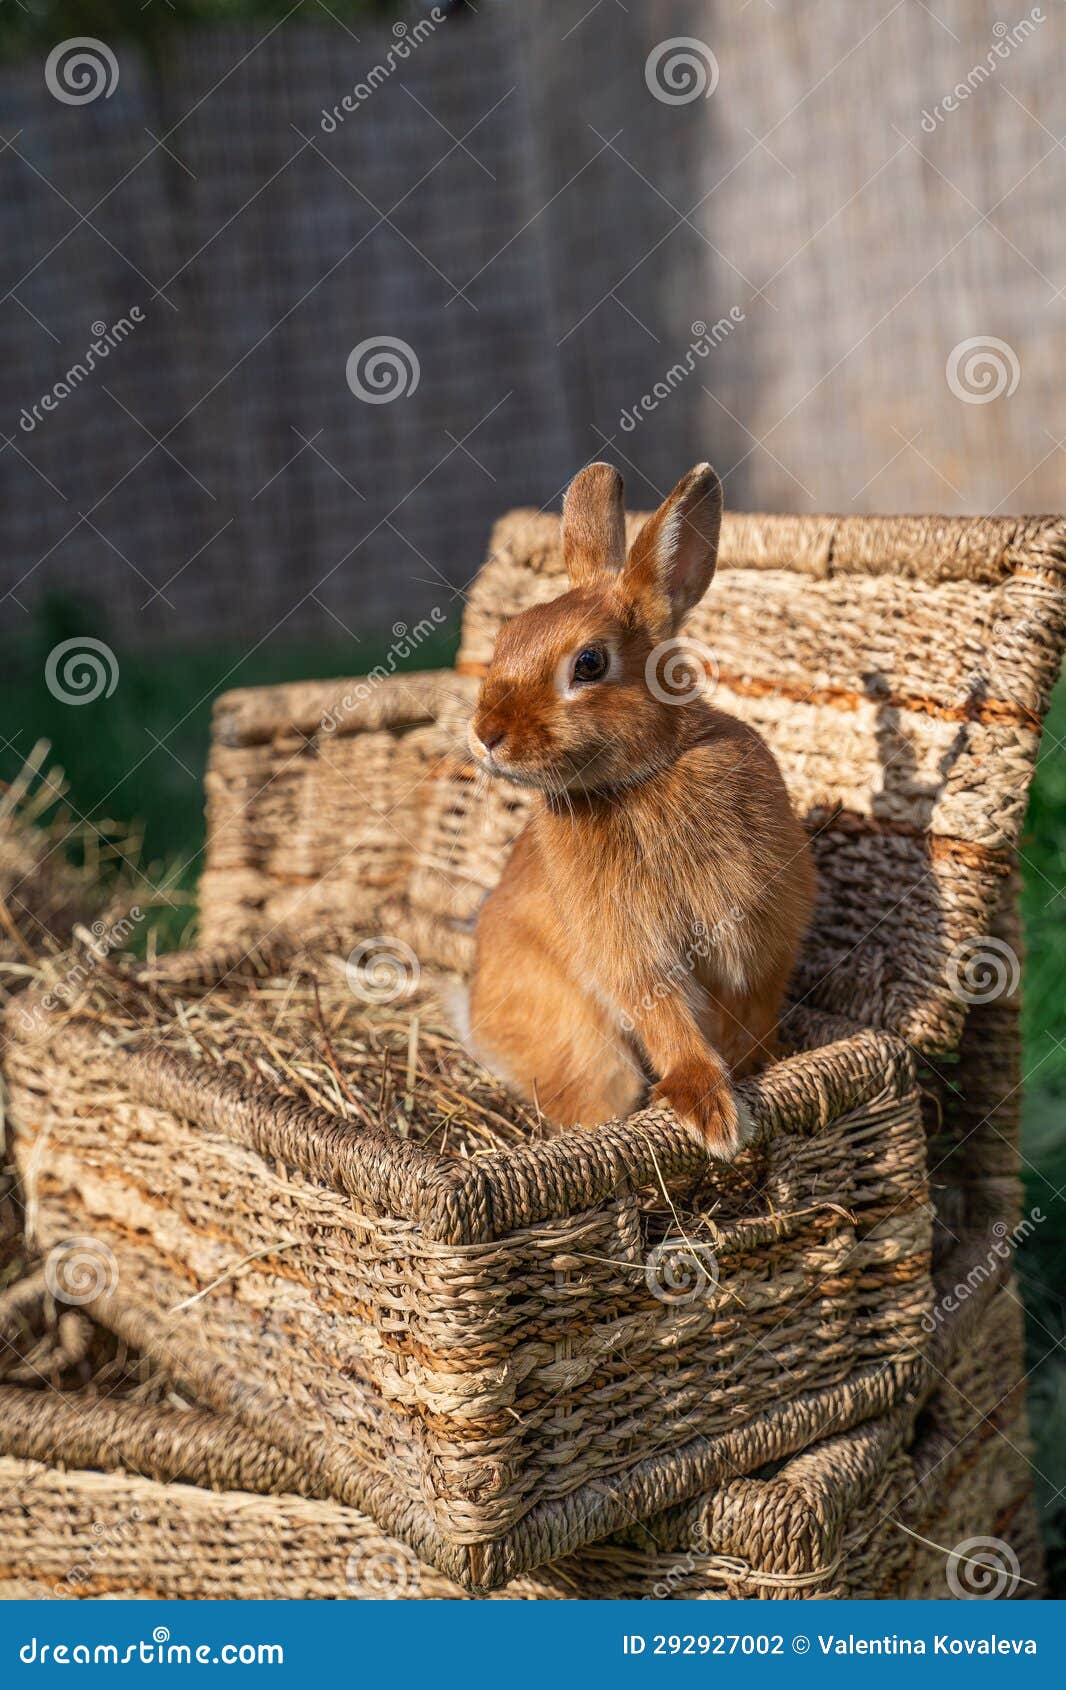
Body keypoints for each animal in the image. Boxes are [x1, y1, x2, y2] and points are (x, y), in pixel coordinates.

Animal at [465, 461, 815, 1159]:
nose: (486, 734)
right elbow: (664, 1017)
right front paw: (715, 1118)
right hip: (595, 1056)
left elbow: (753, 1011)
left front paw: (755, 1074)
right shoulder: (633, 954)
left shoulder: (762, 939)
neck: (642, 779)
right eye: (506, 638)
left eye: (589, 663)